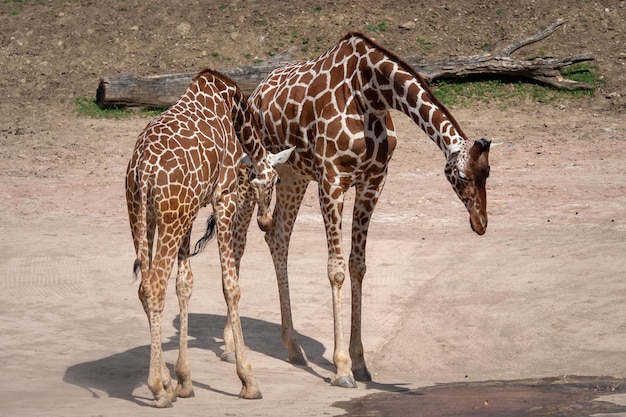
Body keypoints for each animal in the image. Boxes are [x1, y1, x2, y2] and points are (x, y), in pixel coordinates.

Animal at [126, 69, 292, 406]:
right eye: (277, 180)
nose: (265, 221)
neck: (234, 110)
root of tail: (142, 171)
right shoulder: (223, 198)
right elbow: (231, 286)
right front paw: (248, 380)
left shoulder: (190, 213)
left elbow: (184, 285)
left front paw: (184, 380)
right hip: (169, 218)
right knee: (154, 285)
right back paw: (157, 389)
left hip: (145, 216)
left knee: (144, 286)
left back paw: (165, 381)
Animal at [236, 32, 490, 386]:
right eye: (463, 176)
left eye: (488, 172)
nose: (481, 223)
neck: (372, 94)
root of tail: (257, 91)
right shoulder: (331, 180)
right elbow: (336, 269)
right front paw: (342, 369)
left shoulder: (373, 181)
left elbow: (358, 266)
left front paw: (360, 363)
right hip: (256, 169)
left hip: (292, 174)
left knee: (277, 237)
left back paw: (294, 348)